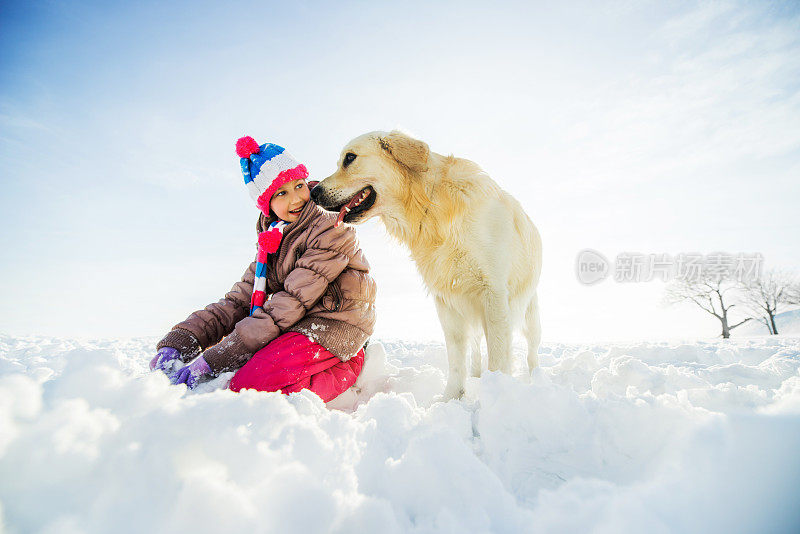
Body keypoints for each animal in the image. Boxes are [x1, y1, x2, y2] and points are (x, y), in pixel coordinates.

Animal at [310, 131, 540, 402]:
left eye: (349, 158)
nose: (313, 192)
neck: (431, 205)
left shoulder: (493, 294)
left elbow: (497, 355)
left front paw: (497, 394)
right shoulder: (446, 300)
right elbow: (456, 359)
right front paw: (451, 398)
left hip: (529, 315)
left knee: (532, 351)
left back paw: (536, 378)